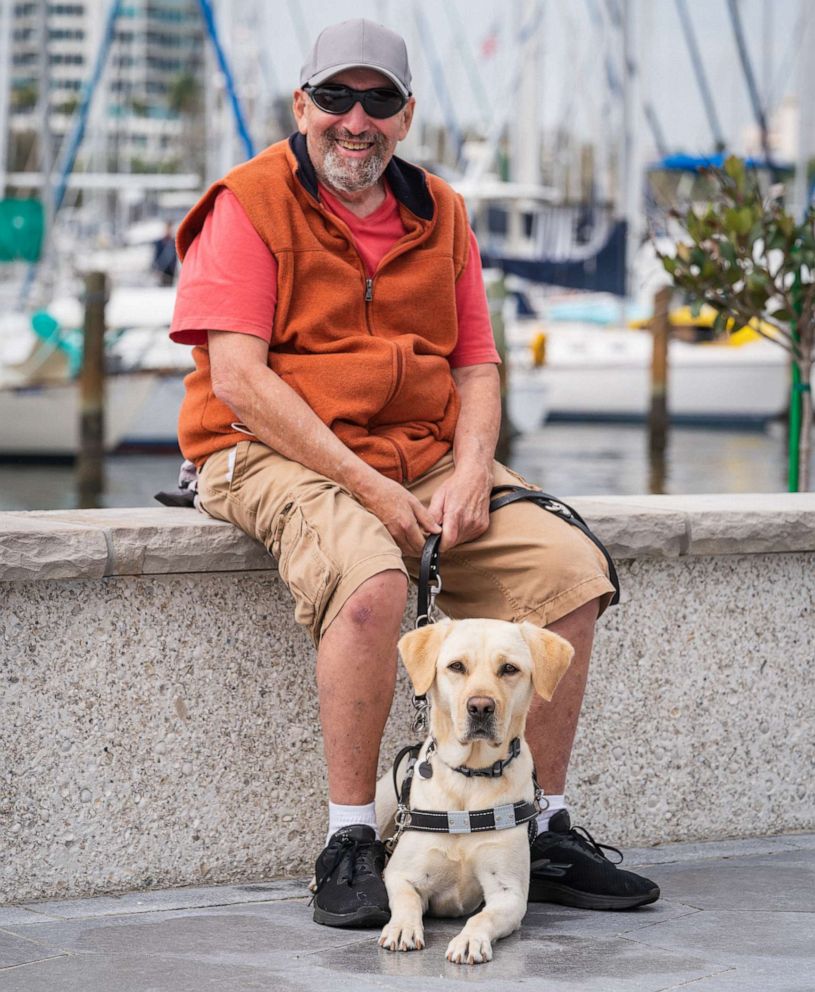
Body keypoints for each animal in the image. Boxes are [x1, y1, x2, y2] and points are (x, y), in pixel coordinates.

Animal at [376, 616, 572, 964]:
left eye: (509, 668)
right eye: (456, 666)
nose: (480, 706)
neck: (471, 775)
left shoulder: (509, 892)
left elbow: (483, 917)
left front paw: (469, 940)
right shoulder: (400, 874)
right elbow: (407, 900)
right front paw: (401, 928)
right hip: (385, 797)